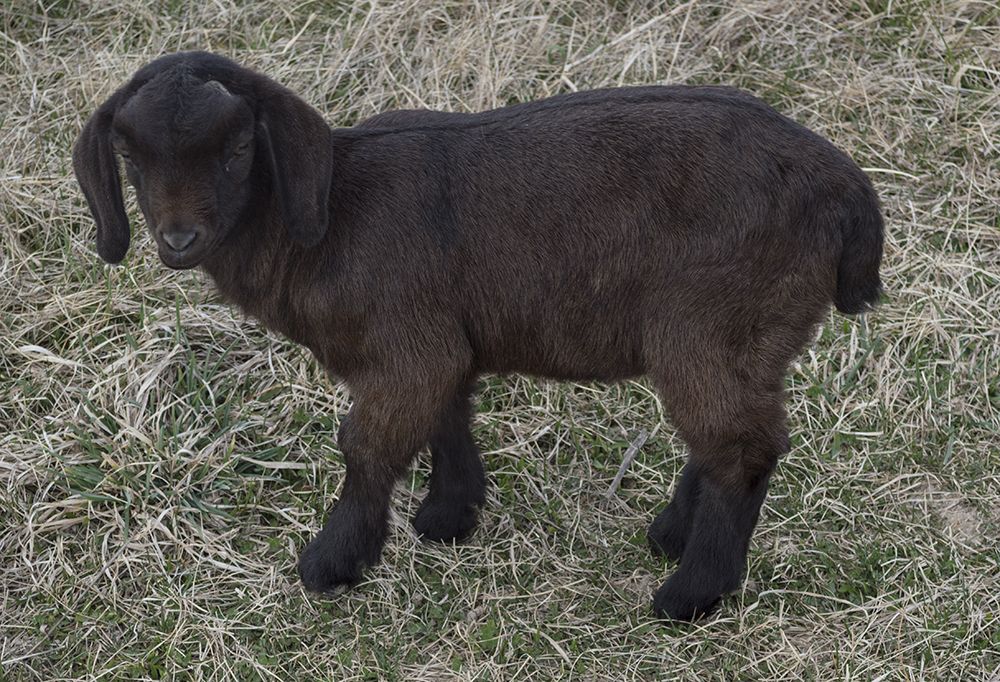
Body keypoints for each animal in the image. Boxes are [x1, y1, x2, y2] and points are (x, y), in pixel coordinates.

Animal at [73, 51, 883, 621]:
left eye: (239, 148)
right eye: (131, 156)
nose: (179, 240)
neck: (326, 219)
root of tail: (848, 191)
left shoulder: (405, 348)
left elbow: (366, 445)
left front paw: (332, 564)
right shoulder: (440, 339)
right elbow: (447, 414)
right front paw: (448, 517)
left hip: (714, 319)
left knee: (742, 447)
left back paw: (690, 594)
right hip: (751, 336)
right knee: (732, 438)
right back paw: (672, 536)